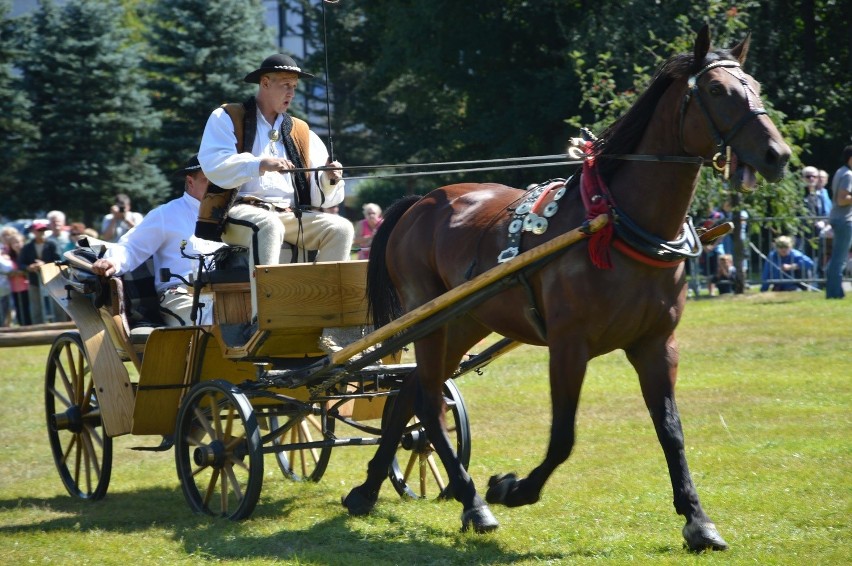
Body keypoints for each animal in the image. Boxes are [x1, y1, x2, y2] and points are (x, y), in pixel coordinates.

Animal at [342, 24, 792, 552]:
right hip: (429, 318)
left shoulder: (657, 343)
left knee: (412, 391)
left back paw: (370, 488)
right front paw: (512, 489)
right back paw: (473, 502)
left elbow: (671, 430)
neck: (619, 223)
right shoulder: (568, 344)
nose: (777, 155)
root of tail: (420, 201)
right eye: (718, 91)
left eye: (756, 87)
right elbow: (563, 436)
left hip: (465, 320)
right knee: (430, 402)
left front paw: (697, 520)